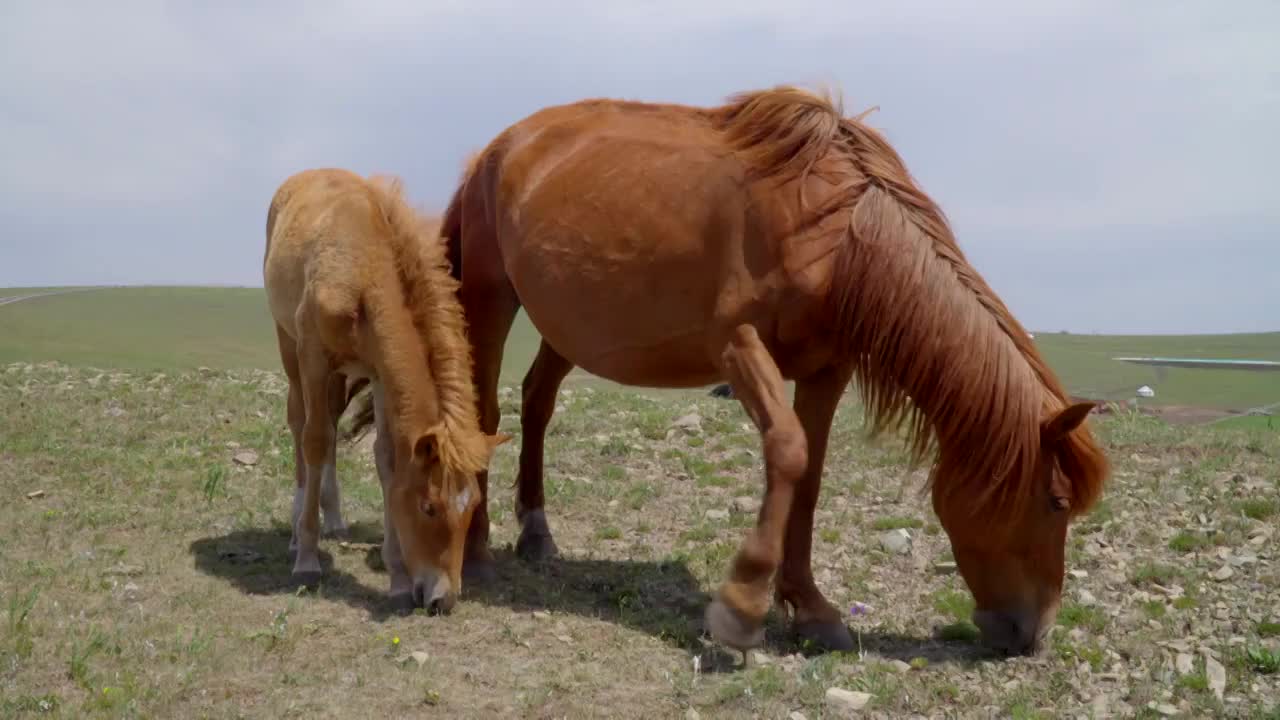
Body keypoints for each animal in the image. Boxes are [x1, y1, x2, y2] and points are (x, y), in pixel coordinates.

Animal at [264, 167, 509, 609]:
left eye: (473, 507)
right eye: (429, 507)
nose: (443, 600)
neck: (363, 273)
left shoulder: (378, 372)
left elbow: (386, 457)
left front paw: (396, 577)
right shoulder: (313, 356)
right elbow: (314, 440)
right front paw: (307, 558)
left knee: (329, 422)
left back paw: (335, 519)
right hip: (288, 344)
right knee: (301, 424)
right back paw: (297, 530)